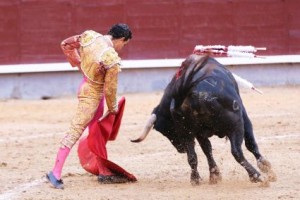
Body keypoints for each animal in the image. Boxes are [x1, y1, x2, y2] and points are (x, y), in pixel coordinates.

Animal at [133, 54, 276, 186]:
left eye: (167, 130)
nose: (180, 149)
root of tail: (193, 94)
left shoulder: (197, 133)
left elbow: (206, 150)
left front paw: (214, 175)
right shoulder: (244, 116)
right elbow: (250, 143)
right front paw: (266, 167)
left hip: (187, 133)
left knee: (192, 156)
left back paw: (195, 179)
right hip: (236, 125)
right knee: (237, 151)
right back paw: (256, 176)